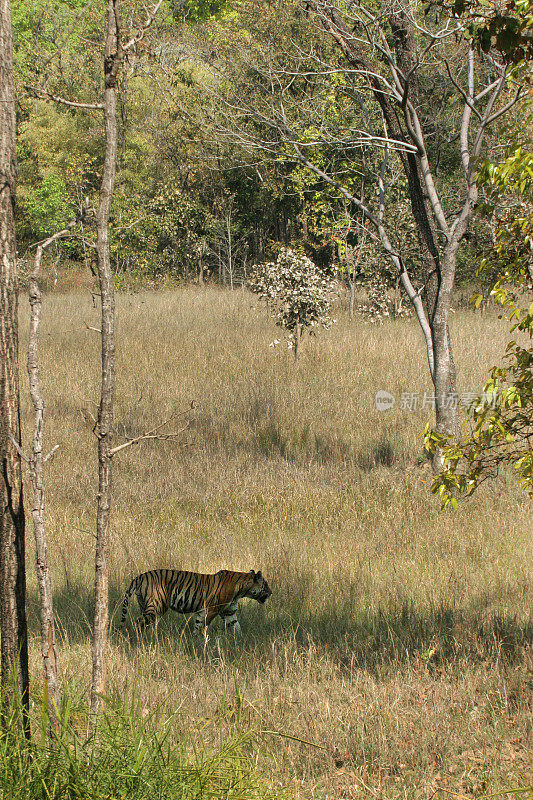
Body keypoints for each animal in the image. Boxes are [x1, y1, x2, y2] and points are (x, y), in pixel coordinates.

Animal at [119, 564, 272, 636]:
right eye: (266, 585)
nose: (271, 593)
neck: (241, 591)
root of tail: (140, 576)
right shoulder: (212, 609)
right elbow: (203, 626)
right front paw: (200, 641)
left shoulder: (228, 612)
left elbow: (235, 627)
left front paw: (239, 640)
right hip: (156, 605)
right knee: (138, 622)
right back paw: (139, 639)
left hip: (144, 605)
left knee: (144, 623)